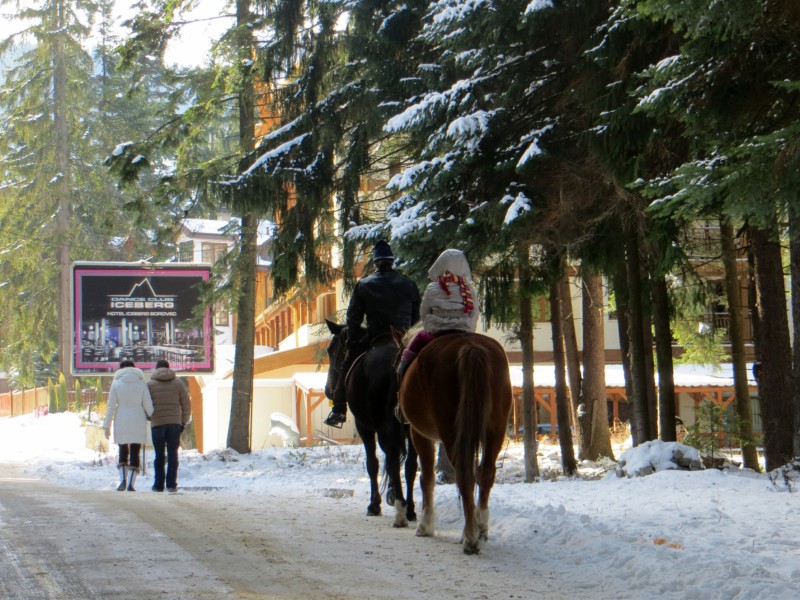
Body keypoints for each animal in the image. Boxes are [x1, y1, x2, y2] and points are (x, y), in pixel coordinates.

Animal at [394, 330, 512, 556]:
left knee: (465, 476)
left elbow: (427, 478)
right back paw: (480, 530)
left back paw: (470, 538)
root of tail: (471, 347)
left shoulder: (419, 434)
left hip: (452, 432)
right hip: (495, 429)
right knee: (485, 473)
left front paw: (425, 526)